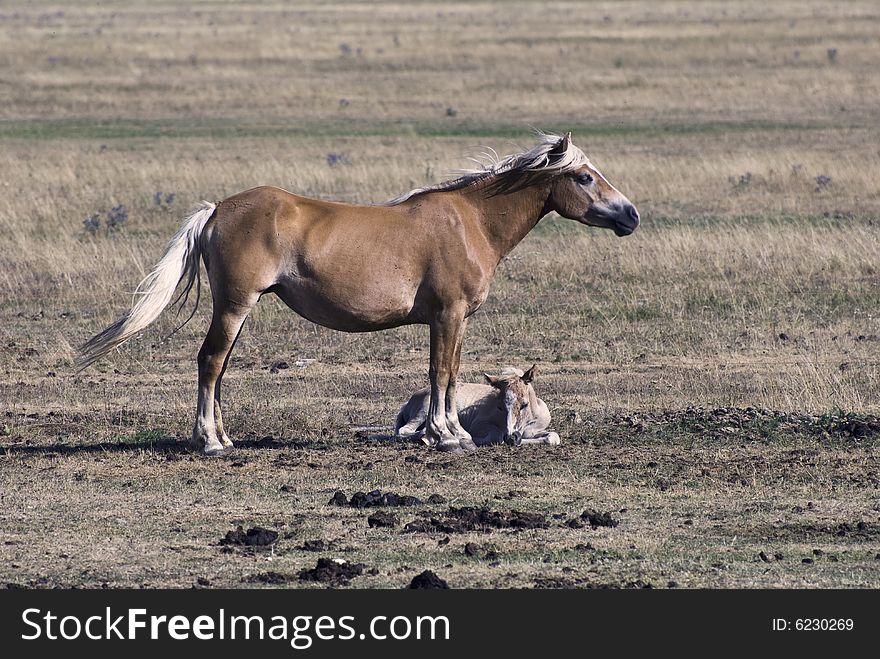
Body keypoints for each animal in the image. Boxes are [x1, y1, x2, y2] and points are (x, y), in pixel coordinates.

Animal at [396, 366, 560, 448]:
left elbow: (552, 437)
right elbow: (495, 436)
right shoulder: (479, 424)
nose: (511, 437)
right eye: (500, 406)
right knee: (404, 430)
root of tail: (408, 403)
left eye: (524, 404)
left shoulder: (530, 431)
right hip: (423, 411)